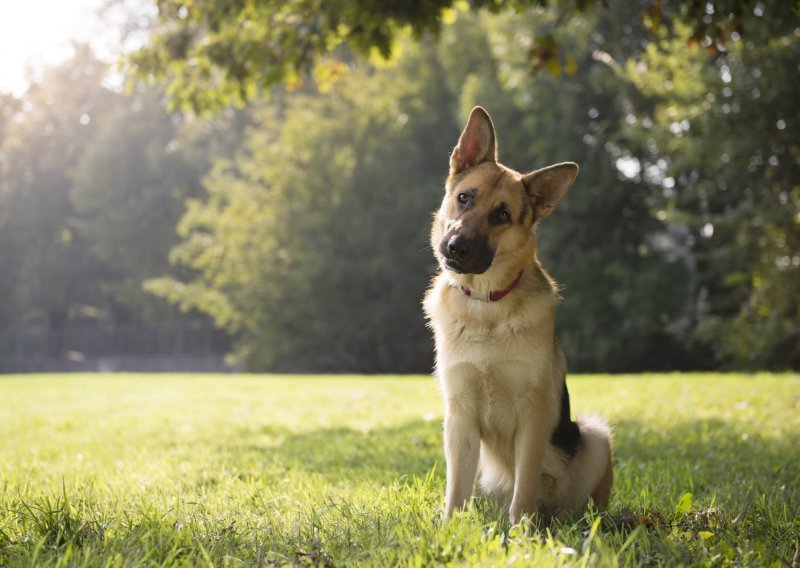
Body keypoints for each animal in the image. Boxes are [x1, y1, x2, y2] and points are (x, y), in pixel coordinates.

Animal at [422, 106, 616, 524]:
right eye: (464, 198)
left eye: (502, 215)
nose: (455, 247)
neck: (486, 304)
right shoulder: (459, 415)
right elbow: (455, 489)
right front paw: (450, 527)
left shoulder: (534, 415)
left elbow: (524, 484)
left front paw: (522, 530)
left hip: (594, 437)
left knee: (571, 503)